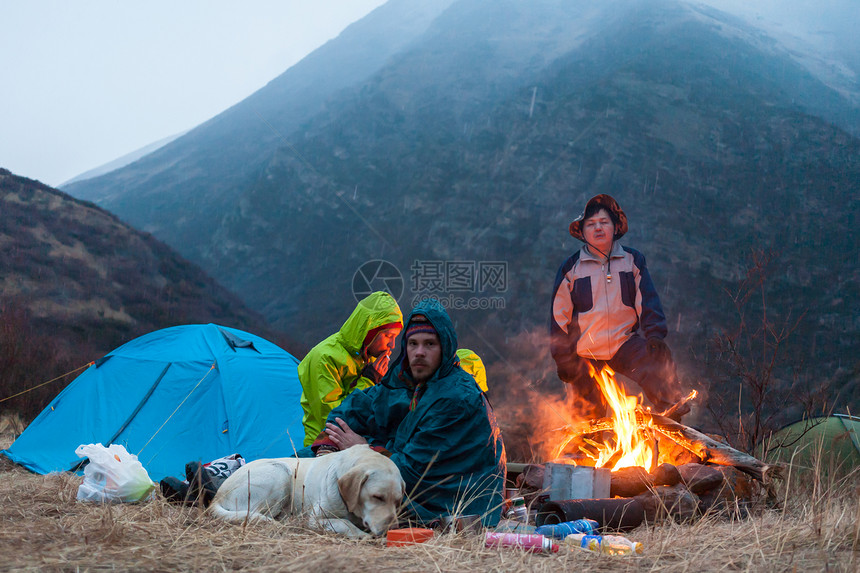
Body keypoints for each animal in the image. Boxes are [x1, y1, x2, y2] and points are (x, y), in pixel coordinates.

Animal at [207, 442, 404, 536]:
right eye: (377, 497)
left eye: (398, 501)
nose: (391, 528)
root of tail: (217, 496)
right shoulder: (316, 518)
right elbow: (345, 523)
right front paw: (361, 535)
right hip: (279, 473)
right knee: (256, 514)